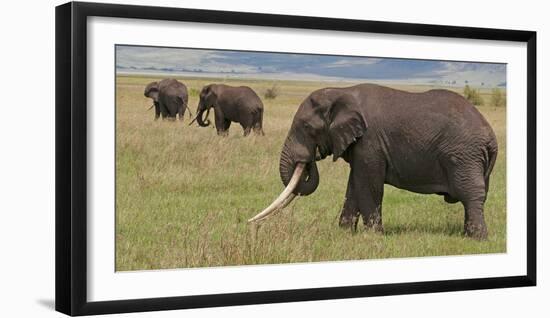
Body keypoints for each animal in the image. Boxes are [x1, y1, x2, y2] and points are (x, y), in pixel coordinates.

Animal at [251, 83, 500, 240]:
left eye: (305, 127)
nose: (310, 158)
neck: (342, 92)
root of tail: (491, 137)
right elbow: (354, 185)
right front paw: (344, 234)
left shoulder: (370, 141)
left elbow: (368, 184)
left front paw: (373, 237)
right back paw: (467, 235)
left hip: (464, 155)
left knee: (470, 193)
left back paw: (477, 239)